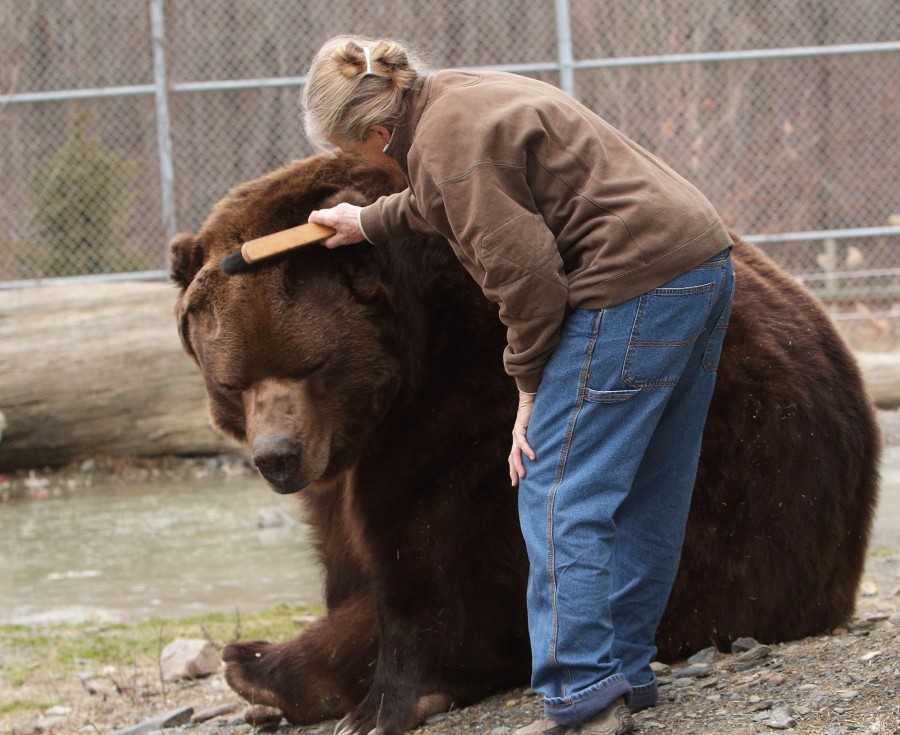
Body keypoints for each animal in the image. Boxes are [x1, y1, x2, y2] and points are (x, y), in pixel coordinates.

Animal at [169, 152, 880, 732]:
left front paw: (373, 702)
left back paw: (252, 664)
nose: (278, 457)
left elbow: (437, 564)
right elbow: (347, 553)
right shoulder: (347, 456)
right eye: (232, 379)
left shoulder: (464, 412)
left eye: (311, 363)